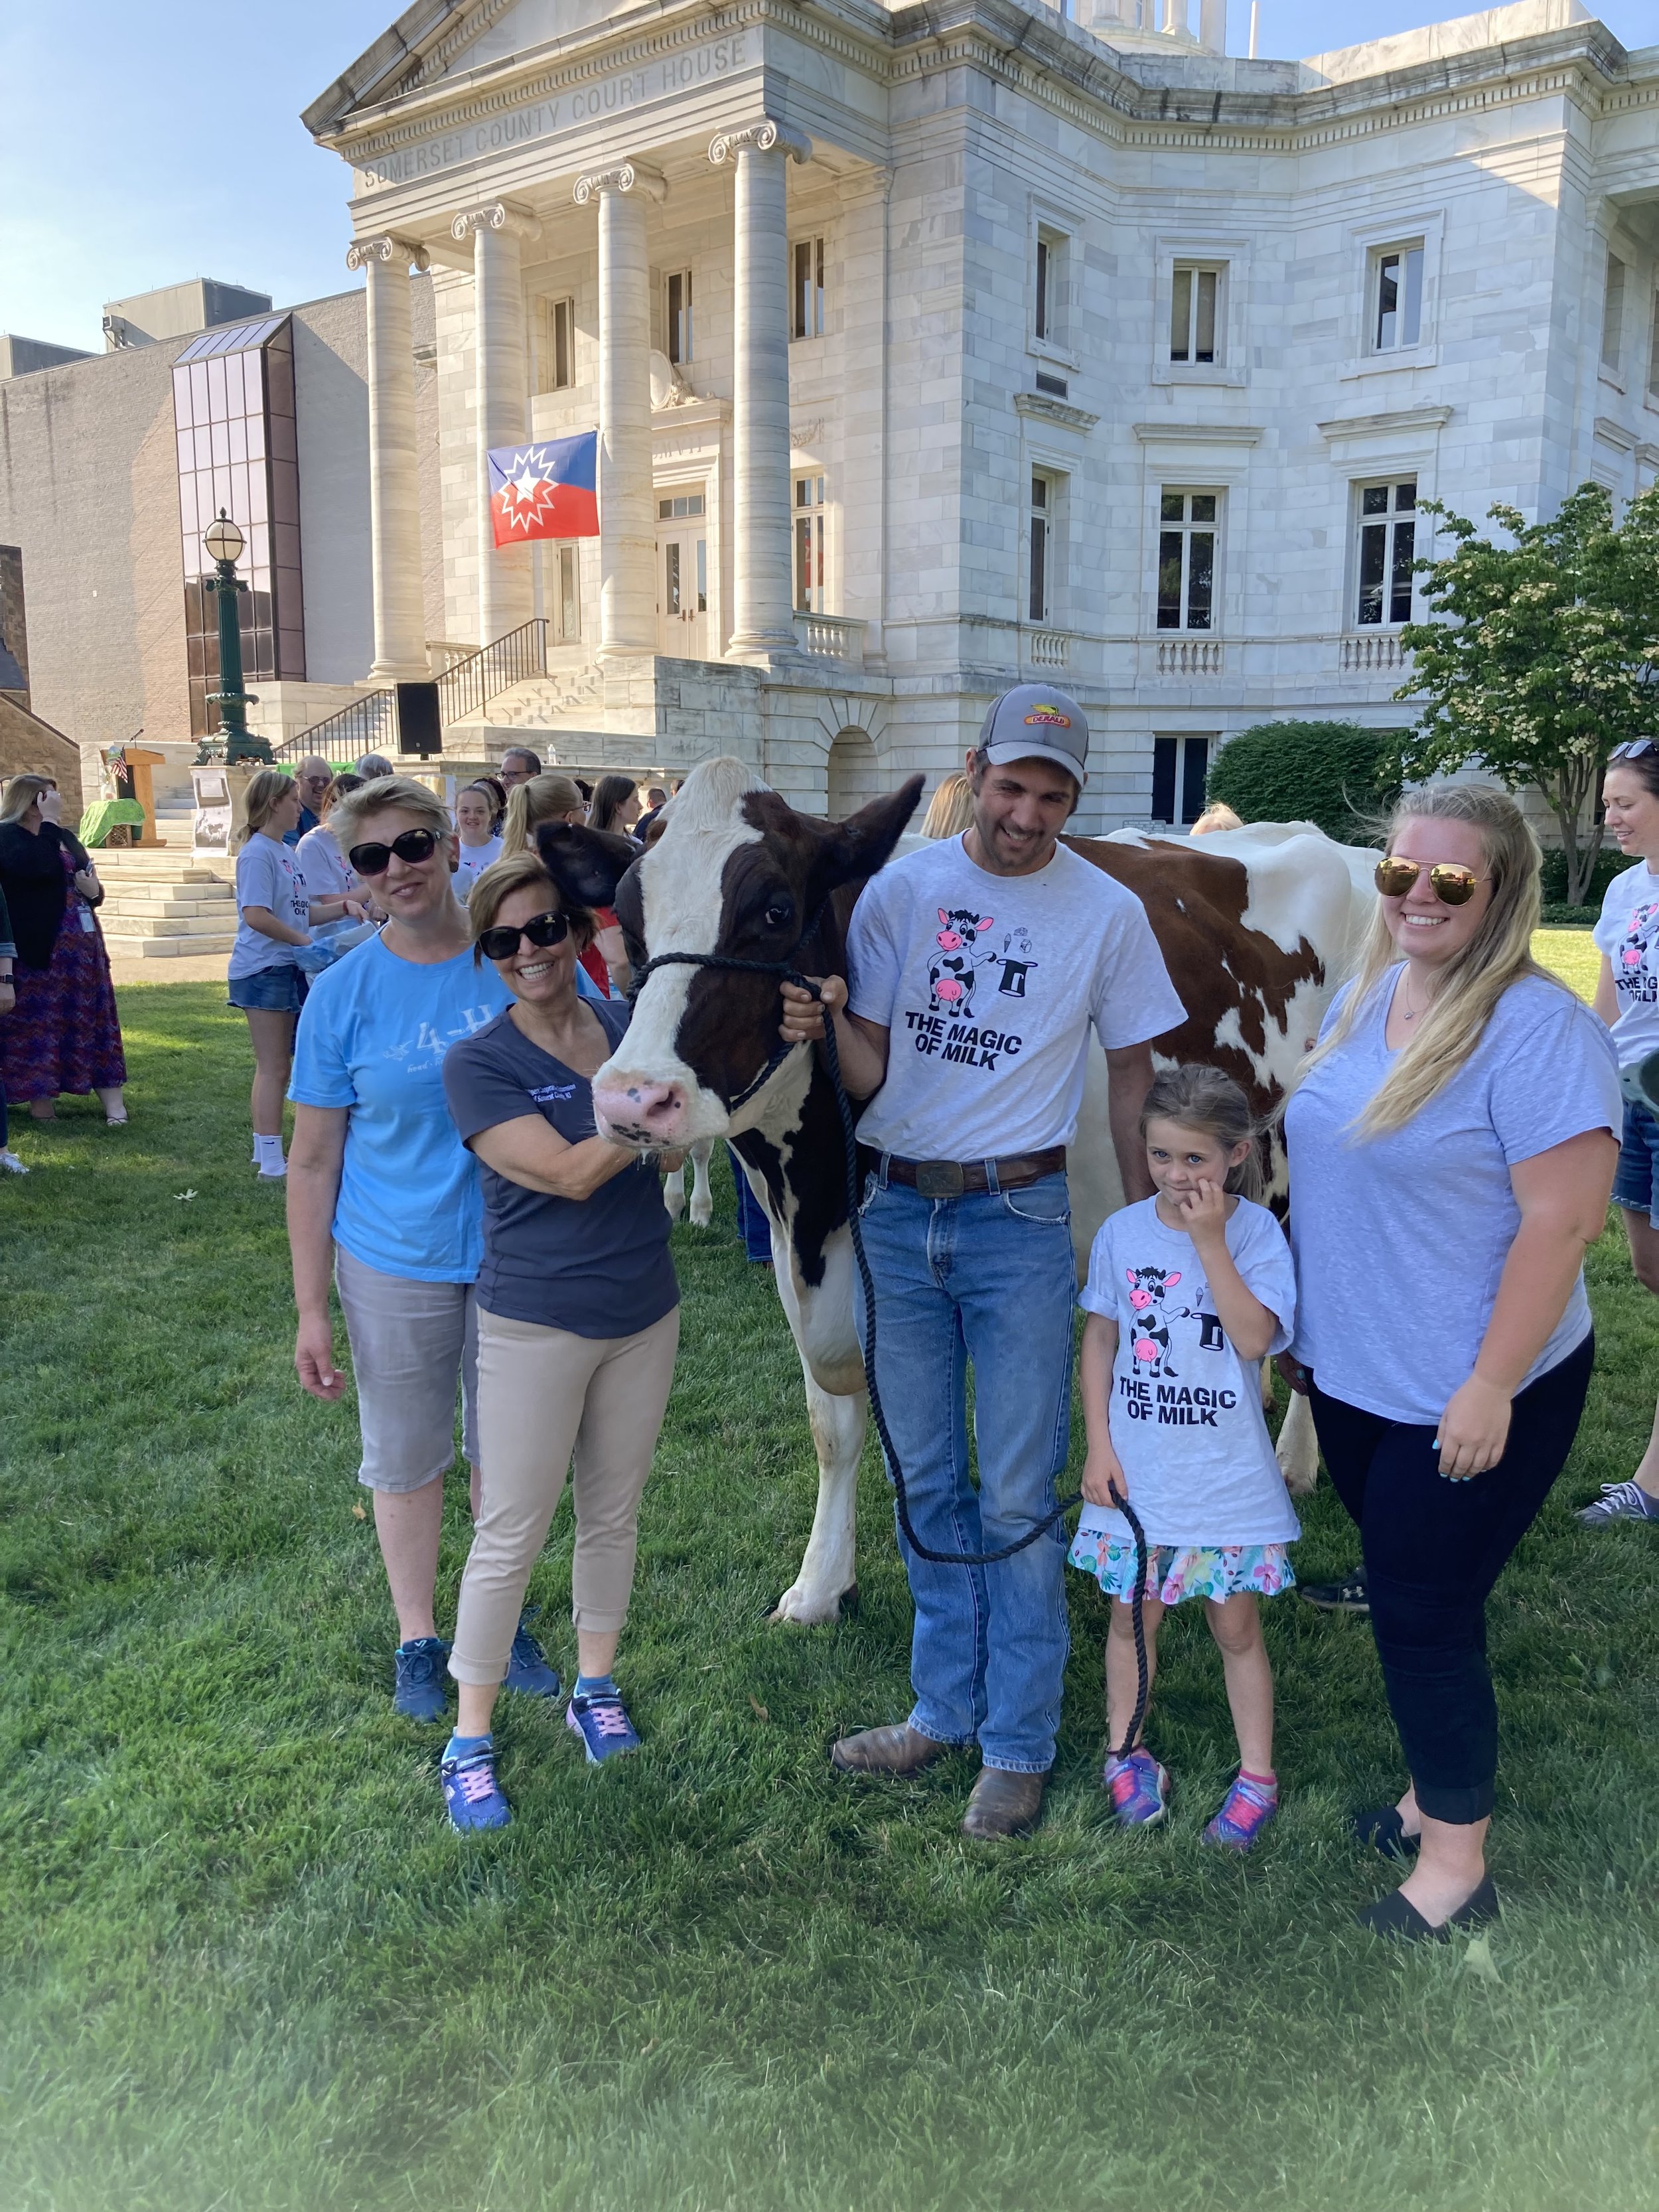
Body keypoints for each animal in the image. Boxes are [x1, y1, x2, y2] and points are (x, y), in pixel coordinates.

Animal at [535, 761, 1380, 1628]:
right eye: (631, 916)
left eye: (774, 910)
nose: (634, 1098)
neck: (813, 1199)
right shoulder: (799, 1253)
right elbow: (834, 1427)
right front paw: (820, 1585)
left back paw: (1293, 1461)